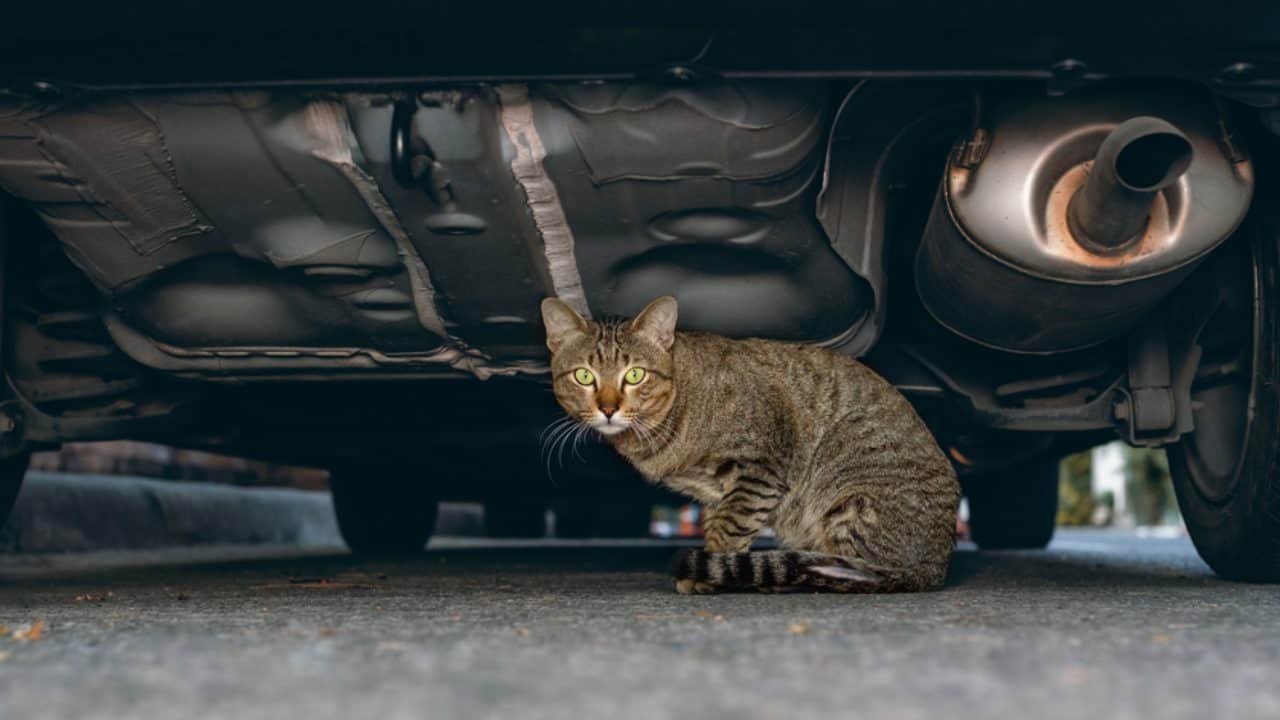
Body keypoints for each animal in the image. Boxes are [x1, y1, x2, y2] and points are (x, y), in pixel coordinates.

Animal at [540, 294, 962, 591]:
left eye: (635, 375)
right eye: (583, 376)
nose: (608, 408)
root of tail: (934, 565)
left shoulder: (760, 471)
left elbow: (728, 530)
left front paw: (707, 575)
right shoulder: (717, 492)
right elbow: (719, 525)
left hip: (850, 500)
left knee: (852, 573)